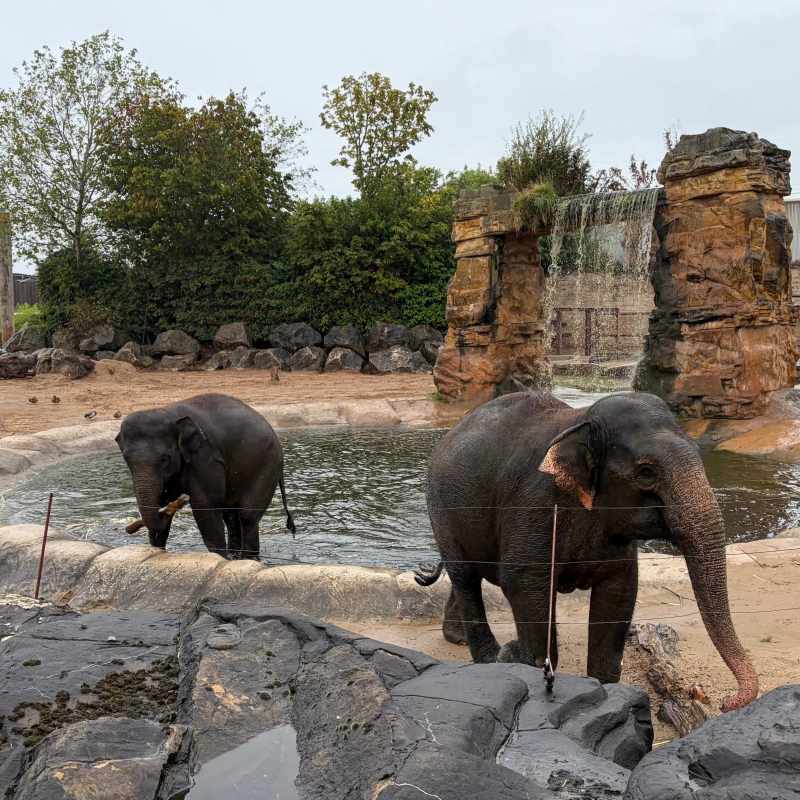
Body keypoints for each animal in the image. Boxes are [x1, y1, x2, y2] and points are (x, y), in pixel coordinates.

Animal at [116, 393, 294, 559]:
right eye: (126, 458)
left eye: (165, 458)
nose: (179, 501)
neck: (167, 412)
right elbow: (160, 502)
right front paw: (157, 550)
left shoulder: (205, 457)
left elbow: (205, 505)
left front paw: (220, 558)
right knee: (231, 516)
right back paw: (236, 557)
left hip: (266, 464)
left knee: (247, 516)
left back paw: (248, 559)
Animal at [415, 390, 758, 712]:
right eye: (646, 473)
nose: (726, 700)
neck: (581, 421)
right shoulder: (535, 502)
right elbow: (525, 582)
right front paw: (521, 660)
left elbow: (620, 591)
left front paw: (605, 690)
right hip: (441, 509)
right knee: (465, 575)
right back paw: (489, 657)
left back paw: (458, 638)